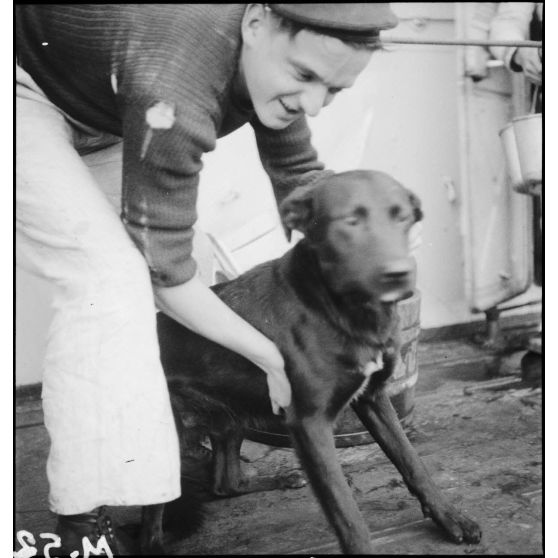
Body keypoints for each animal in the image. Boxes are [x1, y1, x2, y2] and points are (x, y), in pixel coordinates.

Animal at [140, 171, 482, 556]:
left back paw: (281, 478)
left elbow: (412, 462)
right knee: (150, 525)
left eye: (403, 217)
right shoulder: (309, 424)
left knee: (224, 484)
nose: (399, 274)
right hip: (164, 446)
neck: (336, 307)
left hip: (230, 418)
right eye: (349, 221)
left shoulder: (373, 398)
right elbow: (347, 513)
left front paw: (450, 518)